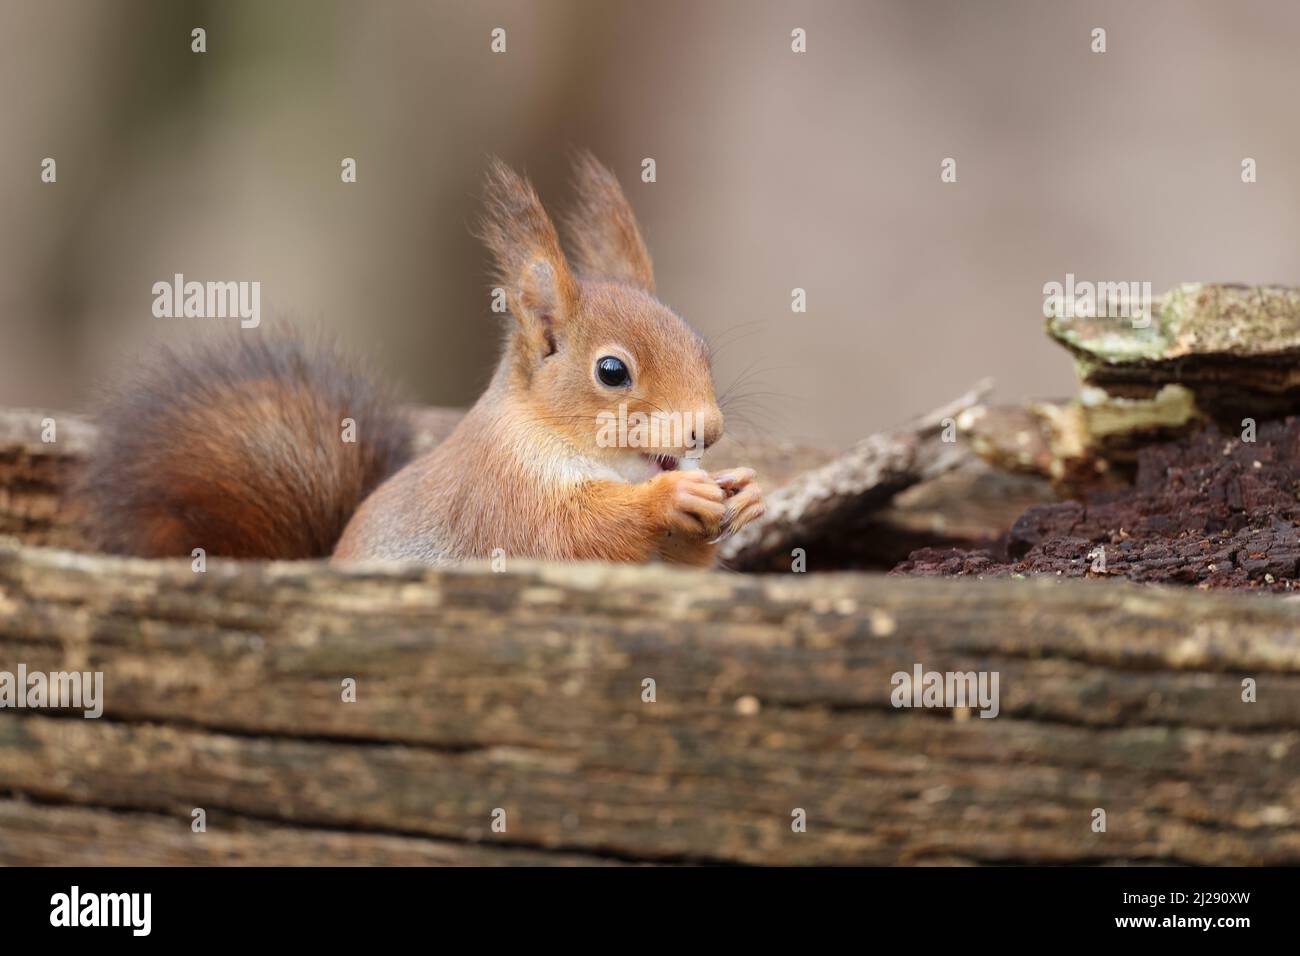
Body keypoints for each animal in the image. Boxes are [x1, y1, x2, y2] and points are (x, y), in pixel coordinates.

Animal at [78, 152, 759, 564]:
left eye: (700, 346)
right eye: (612, 372)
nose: (708, 429)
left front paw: (745, 495)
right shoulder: (503, 495)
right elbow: (573, 535)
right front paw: (670, 497)